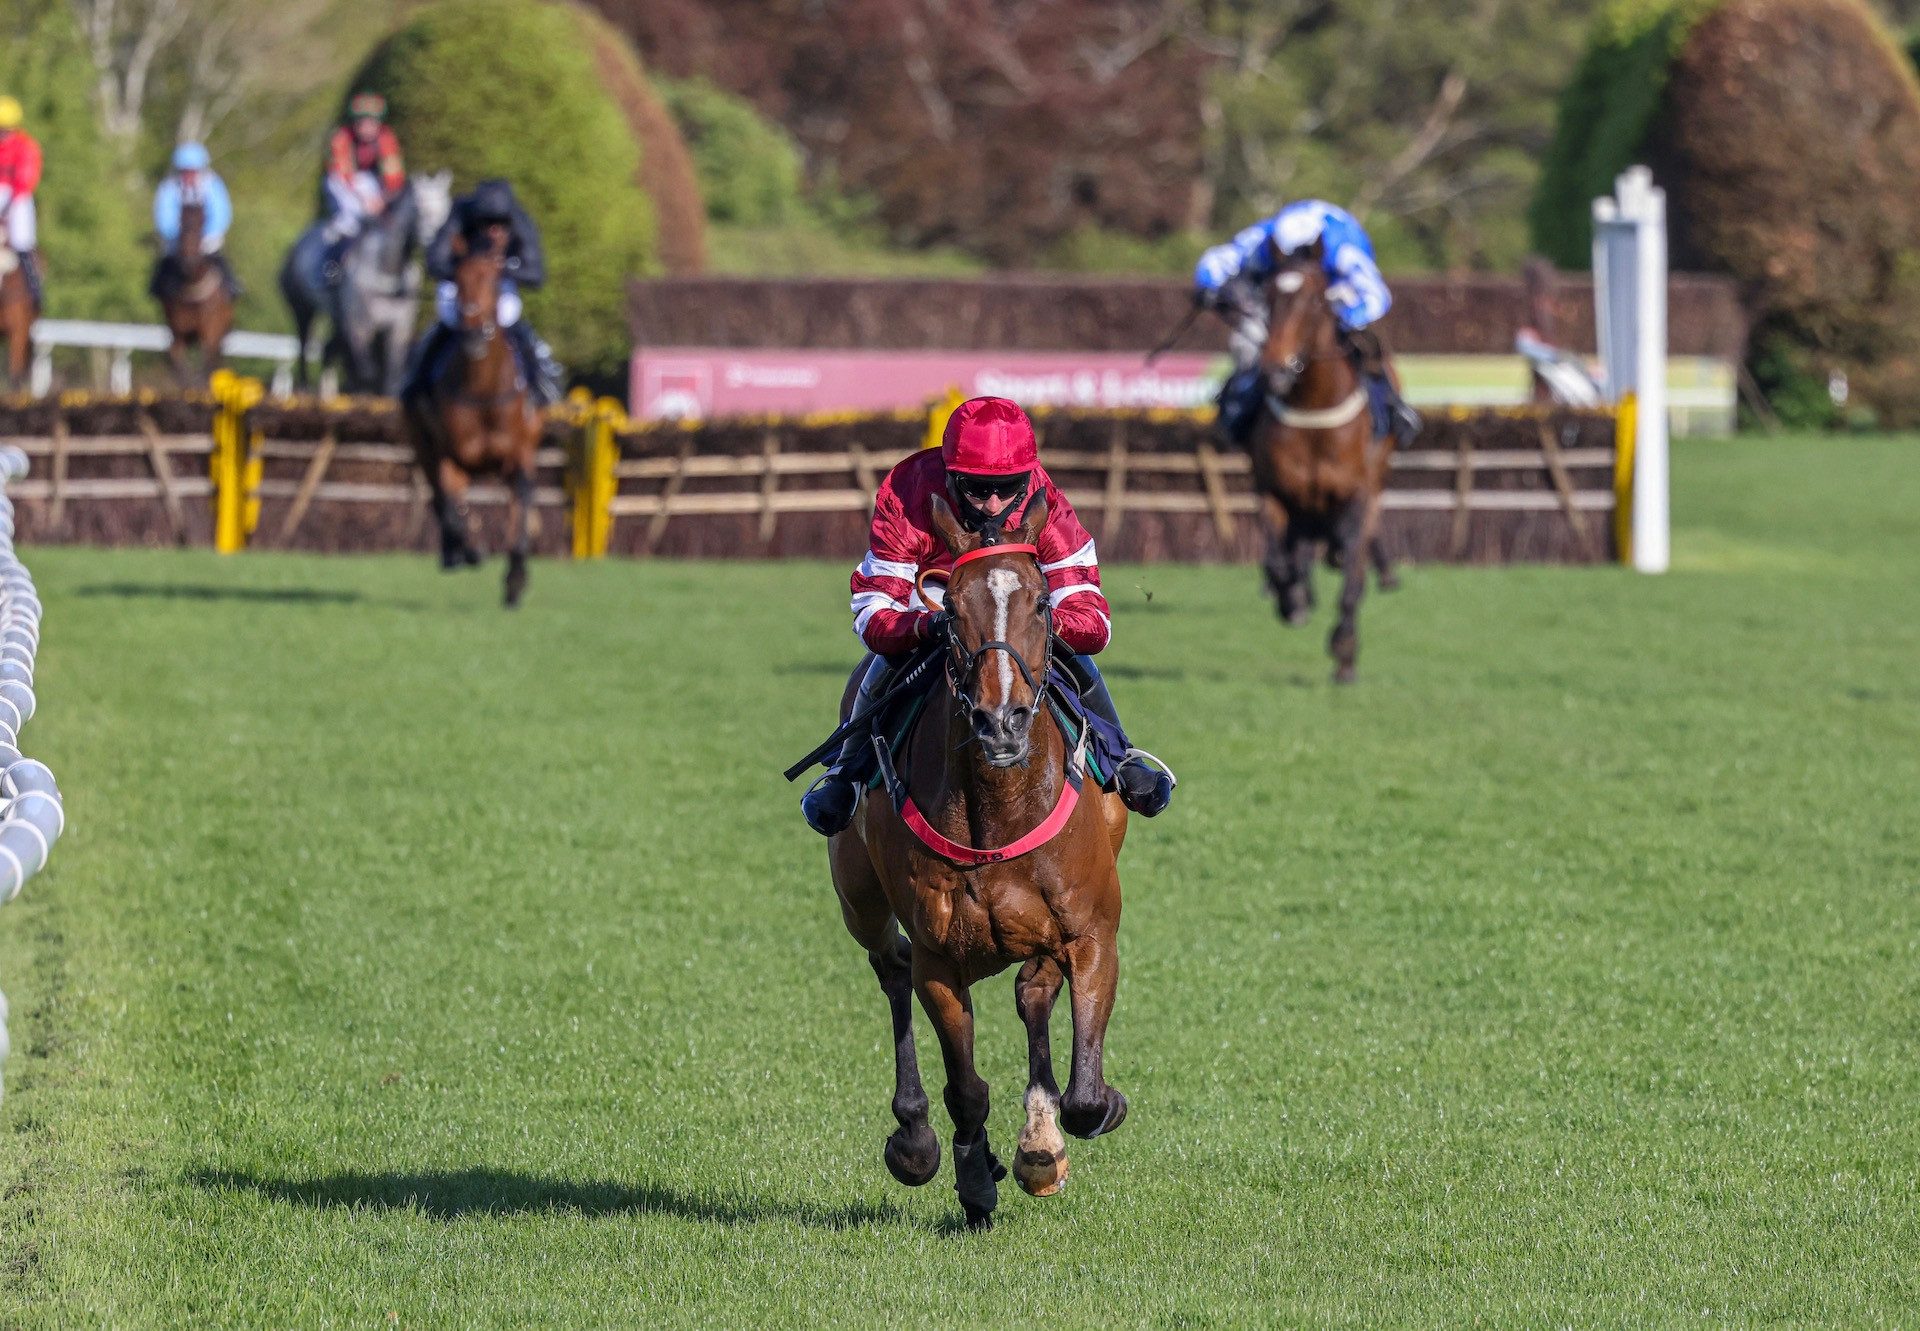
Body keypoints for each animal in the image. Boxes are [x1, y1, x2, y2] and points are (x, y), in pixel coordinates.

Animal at [159, 199, 234, 389]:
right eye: (181, 222)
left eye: (202, 223)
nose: (189, 262)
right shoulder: (178, 329)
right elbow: (177, 358)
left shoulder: (212, 327)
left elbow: (207, 358)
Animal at [276, 169, 451, 393]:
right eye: (421, 208)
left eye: (446, 207)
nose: (441, 246)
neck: (386, 268)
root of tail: (296, 246)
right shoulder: (360, 327)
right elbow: (366, 373)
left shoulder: (399, 329)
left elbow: (392, 378)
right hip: (303, 308)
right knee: (304, 347)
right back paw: (306, 387)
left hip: (339, 321)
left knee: (328, 351)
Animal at [399, 231, 541, 603]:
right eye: (457, 280)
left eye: (494, 279)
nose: (474, 332)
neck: (484, 393)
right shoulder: (450, 455)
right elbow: (451, 507)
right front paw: (470, 549)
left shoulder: (519, 455)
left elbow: (521, 505)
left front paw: (516, 578)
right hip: (422, 446)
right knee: (441, 499)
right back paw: (455, 552)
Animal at [833, 491, 1128, 1229]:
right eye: (951, 608)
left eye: (1043, 602)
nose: (1001, 721)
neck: (1000, 805)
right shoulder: (941, 957)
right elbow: (964, 1086)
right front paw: (975, 1177)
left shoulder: (1090, 933)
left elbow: (1084, 1094)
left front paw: (1054, 1137)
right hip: (860, 899)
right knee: (891, 968)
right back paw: (915, 1137)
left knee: (1032, 994)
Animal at [1251, 249, 1405, 683]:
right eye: (1267, 296)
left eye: (1314, 301)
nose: (1276, 370)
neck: (1314, 410)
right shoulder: (1275, 492)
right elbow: (1276, 560)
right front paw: (1292, 600)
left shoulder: (1357, 497)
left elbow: (1352, 578)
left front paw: (1344, 651)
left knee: (1352, 559)